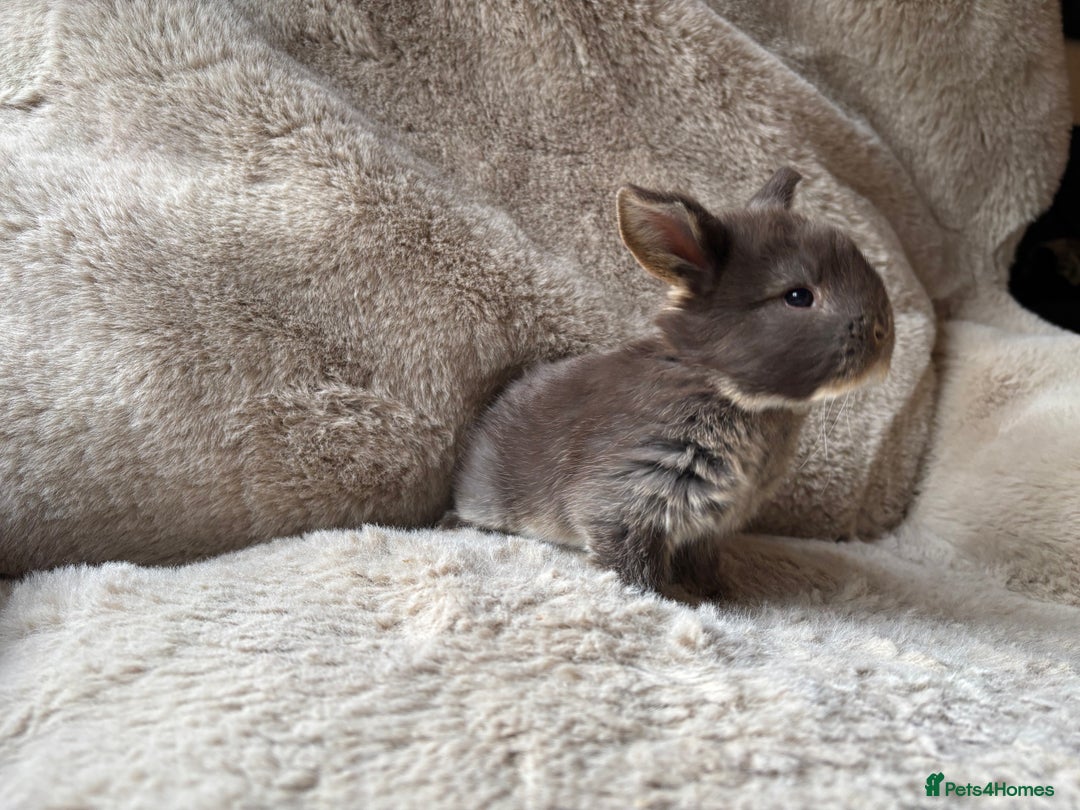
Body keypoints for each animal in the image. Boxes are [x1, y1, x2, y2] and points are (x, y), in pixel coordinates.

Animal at [451, 167, 894, 593]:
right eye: (798, 296)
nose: (884, 334)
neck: (719, 385)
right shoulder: (632, 495)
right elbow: (634, 560)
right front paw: (661, 595)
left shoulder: (710, 524)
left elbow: (701, 558)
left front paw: (718, 591)